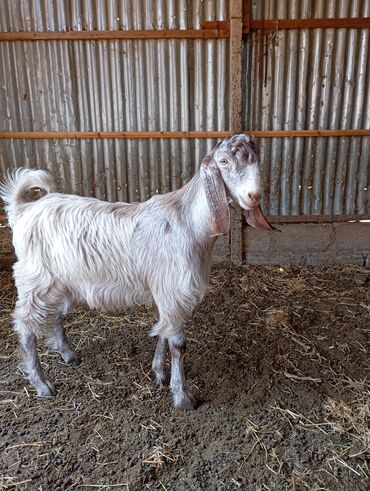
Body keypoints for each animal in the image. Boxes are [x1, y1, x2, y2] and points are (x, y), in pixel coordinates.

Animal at [0, 135, 274, 412]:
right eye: (224, 161)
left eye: (257, 158)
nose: (253, 196)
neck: (189, 222)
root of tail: (23, 210)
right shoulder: (173, 290)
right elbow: (178, 344)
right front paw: (182, 396)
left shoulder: (164, 292)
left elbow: (162, 332)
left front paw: (160, 373)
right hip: (35, 278)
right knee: (24, 324)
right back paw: (41, 384)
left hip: (59, 280)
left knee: (54, 315)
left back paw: (68, 354)